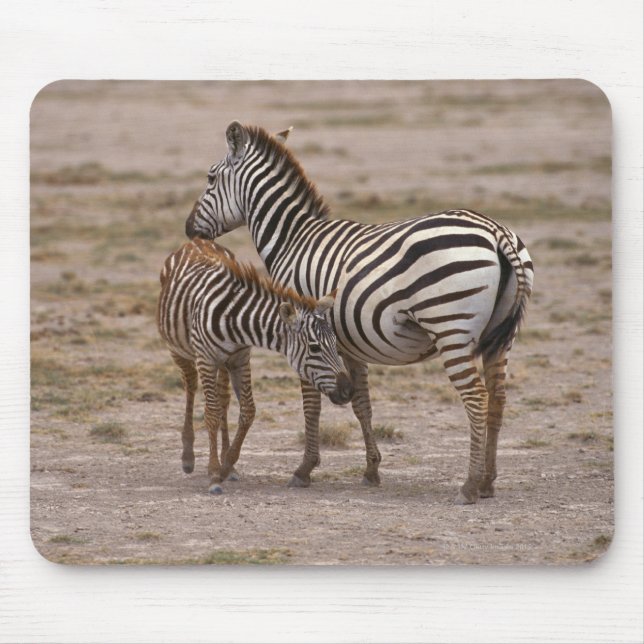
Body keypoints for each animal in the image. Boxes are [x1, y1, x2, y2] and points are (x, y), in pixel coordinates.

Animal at [157, 237, 354, 494]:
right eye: (314, 348)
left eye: (335, 343)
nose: (348, 390)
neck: (233, 319)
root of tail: (197, 241)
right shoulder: (206, 360)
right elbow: (211, 413)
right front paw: (214, 473)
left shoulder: (241, 358)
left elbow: (247, 411)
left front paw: (227, 465)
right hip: (179, 350)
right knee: (190, 386)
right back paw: (188, 456)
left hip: (225, 363)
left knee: (223, 399)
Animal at [185, 122, 534, 504]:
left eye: (210, 178)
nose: (189, 229)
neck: (293, 239)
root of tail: (496, 231)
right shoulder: (348, 343)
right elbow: (361, 403)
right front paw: (371, 470)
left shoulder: (303, 333)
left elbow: (312, 404)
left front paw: (304, 470)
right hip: (499, 337)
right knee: (498, 399)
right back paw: (487, 482)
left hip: (450, 329)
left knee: (477, 399)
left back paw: (469, 486)